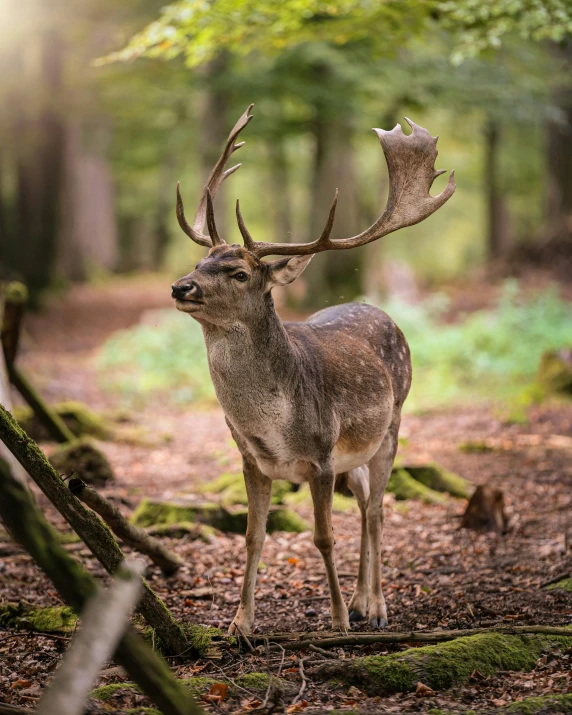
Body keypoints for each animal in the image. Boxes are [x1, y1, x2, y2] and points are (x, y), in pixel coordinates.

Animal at [171, 105, 456, 632]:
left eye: (240, 273)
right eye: (200, 261)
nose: (182, 287)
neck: (273, 426)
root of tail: (382, 311)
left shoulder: (321, 456)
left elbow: (323, 537)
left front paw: (339, 619)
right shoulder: (251, 460)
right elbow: (253, 536)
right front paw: (240, 625)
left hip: (393, 423)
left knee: (378, 509)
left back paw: (375, 608)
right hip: (357, 451)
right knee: (363, 502)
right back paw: (364, 601)